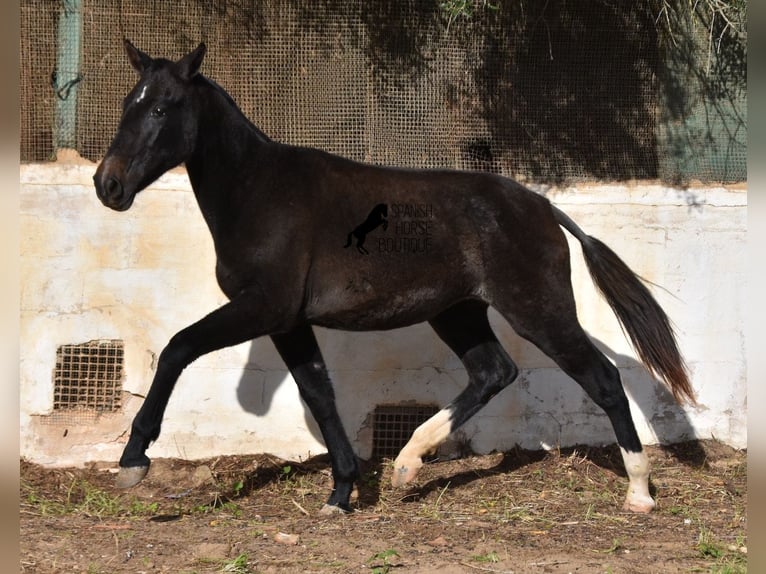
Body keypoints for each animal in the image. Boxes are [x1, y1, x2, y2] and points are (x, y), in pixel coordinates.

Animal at [91, 40, 696, 516]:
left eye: (162, 108)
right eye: (126, 103)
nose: (108, 185)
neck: (259, 193)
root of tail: (545, 206)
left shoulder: (262, 306)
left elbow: (177, 347)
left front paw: (133, 460)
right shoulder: (288, 321)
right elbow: (319, 392)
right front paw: (341, 494)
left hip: (538, 310)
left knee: (602, 379)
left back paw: (639, 492)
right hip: (457, 312)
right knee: (493, 372)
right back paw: (407, 464)